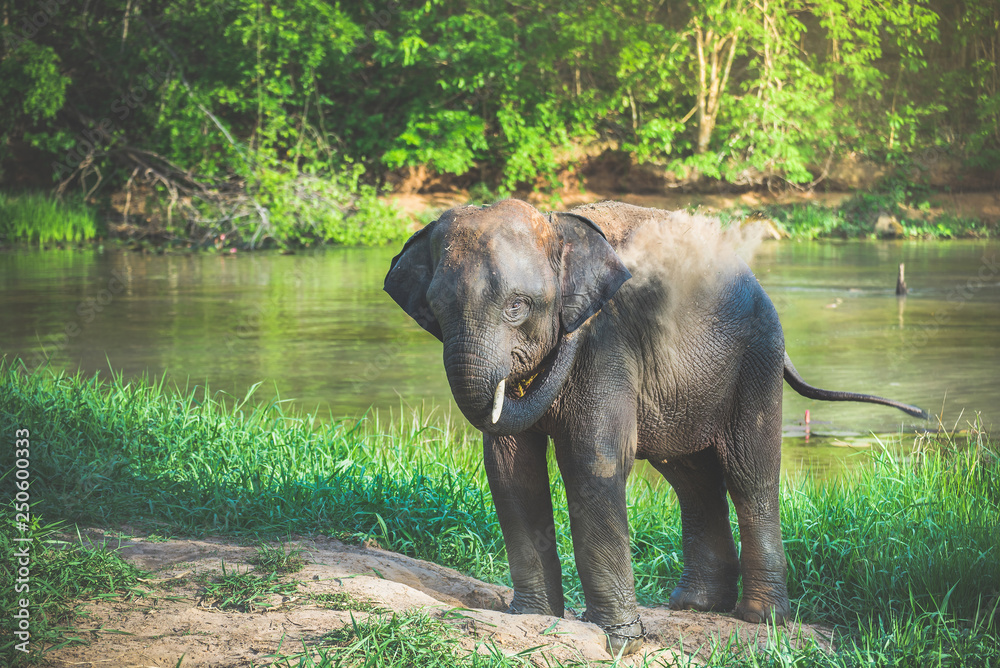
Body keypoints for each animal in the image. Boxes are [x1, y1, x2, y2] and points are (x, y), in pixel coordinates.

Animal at [383, 199, 928, 656]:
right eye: (436, 309)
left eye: (517, 307)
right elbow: (510, 468)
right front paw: (532, 620)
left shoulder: (607, 342)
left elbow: (593, 461)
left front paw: (617, 642)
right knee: (691, 477)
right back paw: (694, 605)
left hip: (757, 356)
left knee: (749, 473)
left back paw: (761, 618)